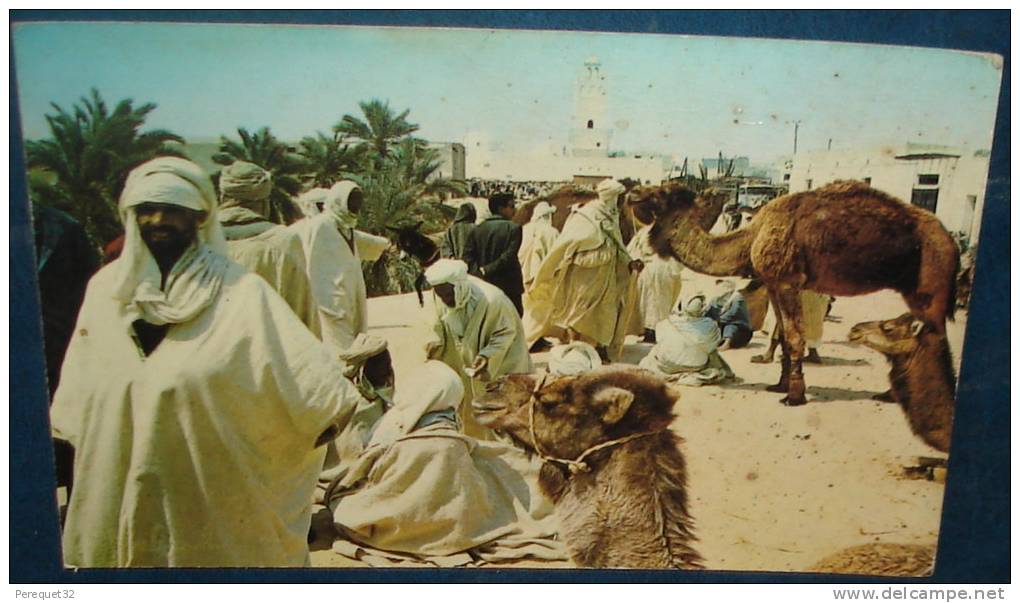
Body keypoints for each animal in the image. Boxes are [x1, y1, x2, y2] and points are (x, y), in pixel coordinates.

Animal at [624, 179, 958, 406]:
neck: (751, 238)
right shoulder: (773, 283)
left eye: (664, 192)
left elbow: (796, 337)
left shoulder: (788, 282)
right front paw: (780, 385)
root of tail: (950, 239)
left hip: (932, 281)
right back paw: (891, 394)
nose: (633, 192)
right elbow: (784, 335)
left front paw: (795, 395)